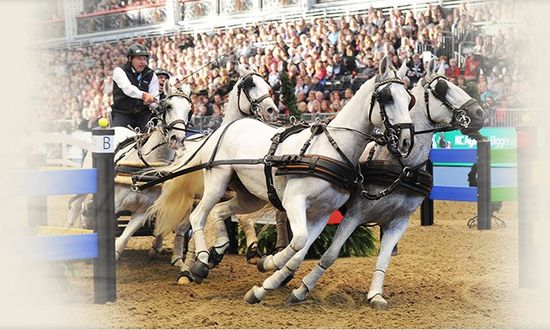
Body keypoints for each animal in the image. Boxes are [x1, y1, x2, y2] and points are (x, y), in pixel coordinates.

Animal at [149, 56, 416, 304]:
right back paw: (202, 260)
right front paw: (269, 263)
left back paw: (209, 256)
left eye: (409, 98)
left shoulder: (321, 214)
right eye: (388, 97)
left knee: (219, 212)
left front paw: (265, 281)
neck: (330, 149)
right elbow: (298, 241)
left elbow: (300, 249)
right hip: (217, 182)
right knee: (197, 217)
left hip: (249, 197)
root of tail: (229, 126)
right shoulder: (293, 202)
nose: (406, 140)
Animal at [288, 58, 488, 308]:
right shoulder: (354, 215)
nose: (479, 113)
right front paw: (301, 290)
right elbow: (330, 254)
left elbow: (383, 259)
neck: (402, 166)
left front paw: (375, 295)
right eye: (442, 88)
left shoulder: (399, 222)